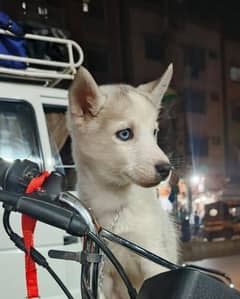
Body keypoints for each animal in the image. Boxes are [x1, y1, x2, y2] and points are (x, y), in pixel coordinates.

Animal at [67, 67, 178, 299]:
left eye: (154, 132)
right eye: (125, 134)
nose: (166, 168)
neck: (116, 207)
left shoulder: (154, 260)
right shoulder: (103, 273)